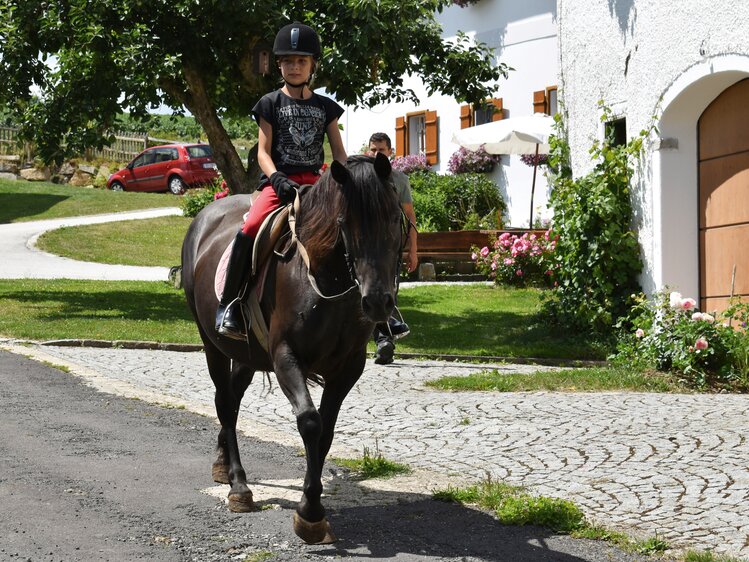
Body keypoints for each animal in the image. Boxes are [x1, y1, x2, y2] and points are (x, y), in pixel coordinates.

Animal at [180, 153, 404, 544]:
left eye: (393, 217)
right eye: (345, 223)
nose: (378, 302)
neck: (324, 281)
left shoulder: (348, 368)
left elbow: (326, 432)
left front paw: (312, 504)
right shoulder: (286, 357)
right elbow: (311, 423)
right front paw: (310, 513)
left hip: (247, 356)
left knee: (232, 400)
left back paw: (223, 463)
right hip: (213, 345)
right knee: (224, 403)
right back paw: (238, 485)